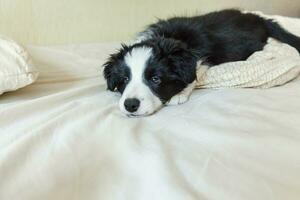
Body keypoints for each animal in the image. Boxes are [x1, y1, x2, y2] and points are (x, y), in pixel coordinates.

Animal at [103, 8, 300, 116]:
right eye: (124, 79)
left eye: (155, 79)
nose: (130, 105)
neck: (164, 38)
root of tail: (259, 19)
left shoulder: (200, 57)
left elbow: (194, 73)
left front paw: (179, 94)